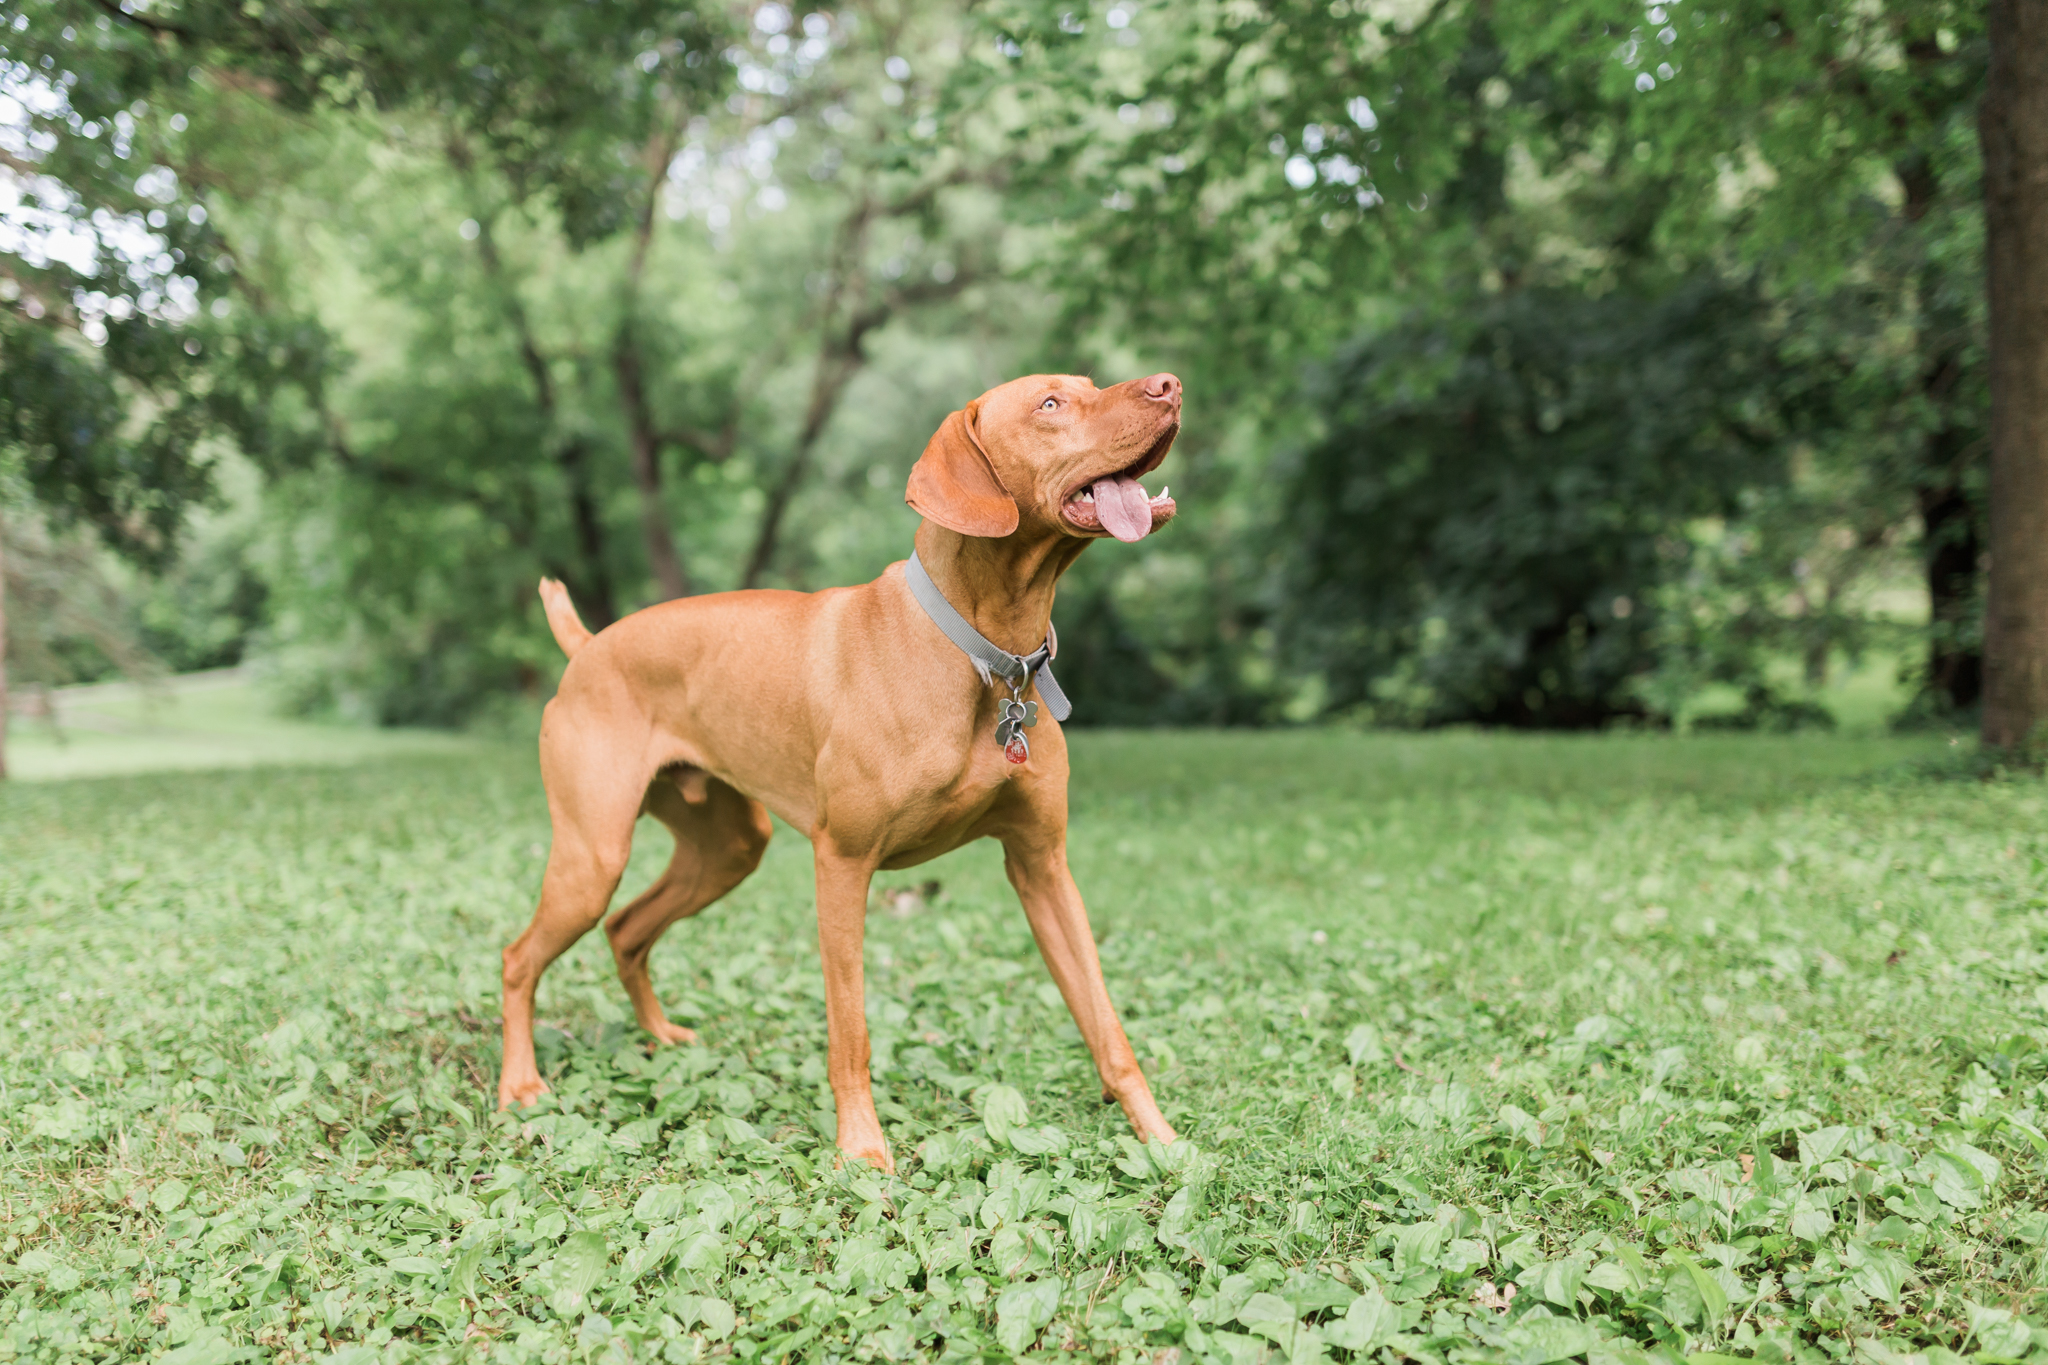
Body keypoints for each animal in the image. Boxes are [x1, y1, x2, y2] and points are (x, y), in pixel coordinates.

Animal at [497, 374, 1196, 1178]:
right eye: (1051, 404)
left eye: (1087, 383)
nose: (1170, 384)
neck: (983, 654)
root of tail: (587, 647)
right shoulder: (842, 863)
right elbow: (851, 1031)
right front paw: (861, 1149)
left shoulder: (1043, 867)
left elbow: (1108, 1027)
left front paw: (1161, 1141)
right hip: (593, 857)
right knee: (520, 958)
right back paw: (520, 1084)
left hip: (727, 849)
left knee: (627, 928)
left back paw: (661, 1037)